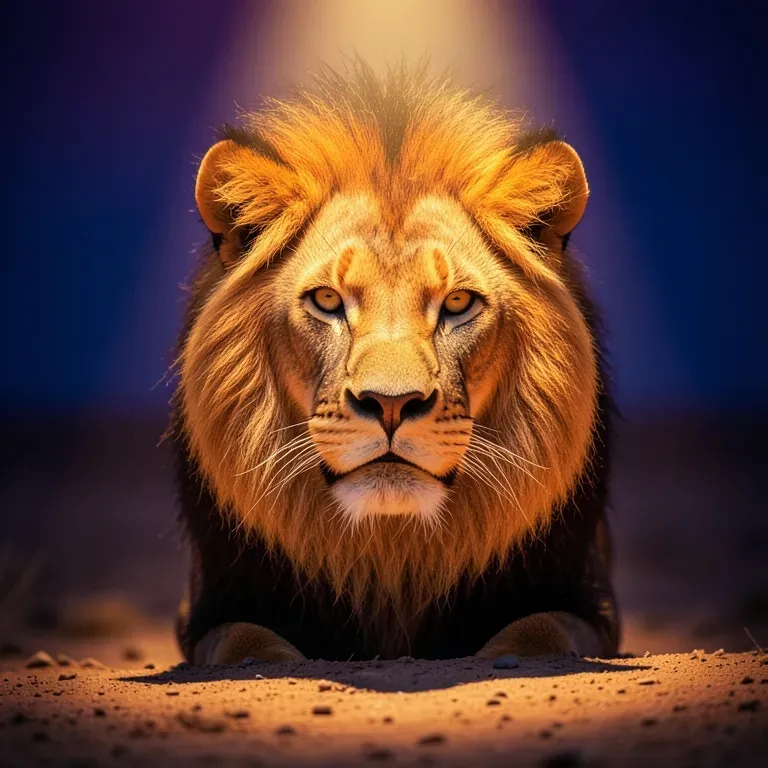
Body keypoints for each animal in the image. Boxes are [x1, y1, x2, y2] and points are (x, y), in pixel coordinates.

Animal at [173, 60, 620, 665]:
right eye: (327, 300)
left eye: (457, 303)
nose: (390, 404)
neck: (391, 554)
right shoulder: (210, 608)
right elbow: (245, 642)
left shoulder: (589, 601)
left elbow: (541, 630)